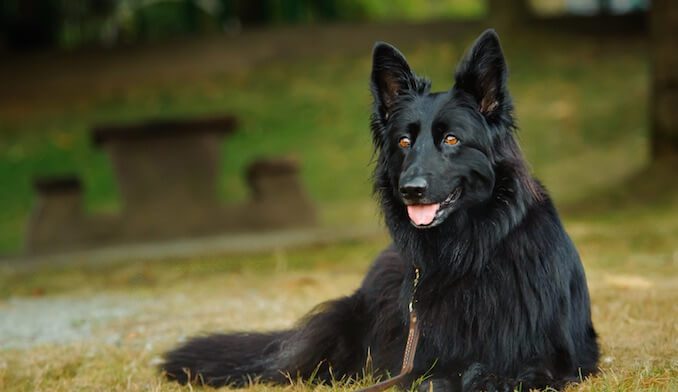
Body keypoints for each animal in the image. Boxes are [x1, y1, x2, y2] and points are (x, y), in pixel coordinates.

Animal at [163, 29, 600, 388]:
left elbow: (509, 371)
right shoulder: (418, 359)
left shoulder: (560, 358)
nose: (411, 191)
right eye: (404, 142)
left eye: (452, 140)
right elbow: (435, 376)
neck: (466, 253)